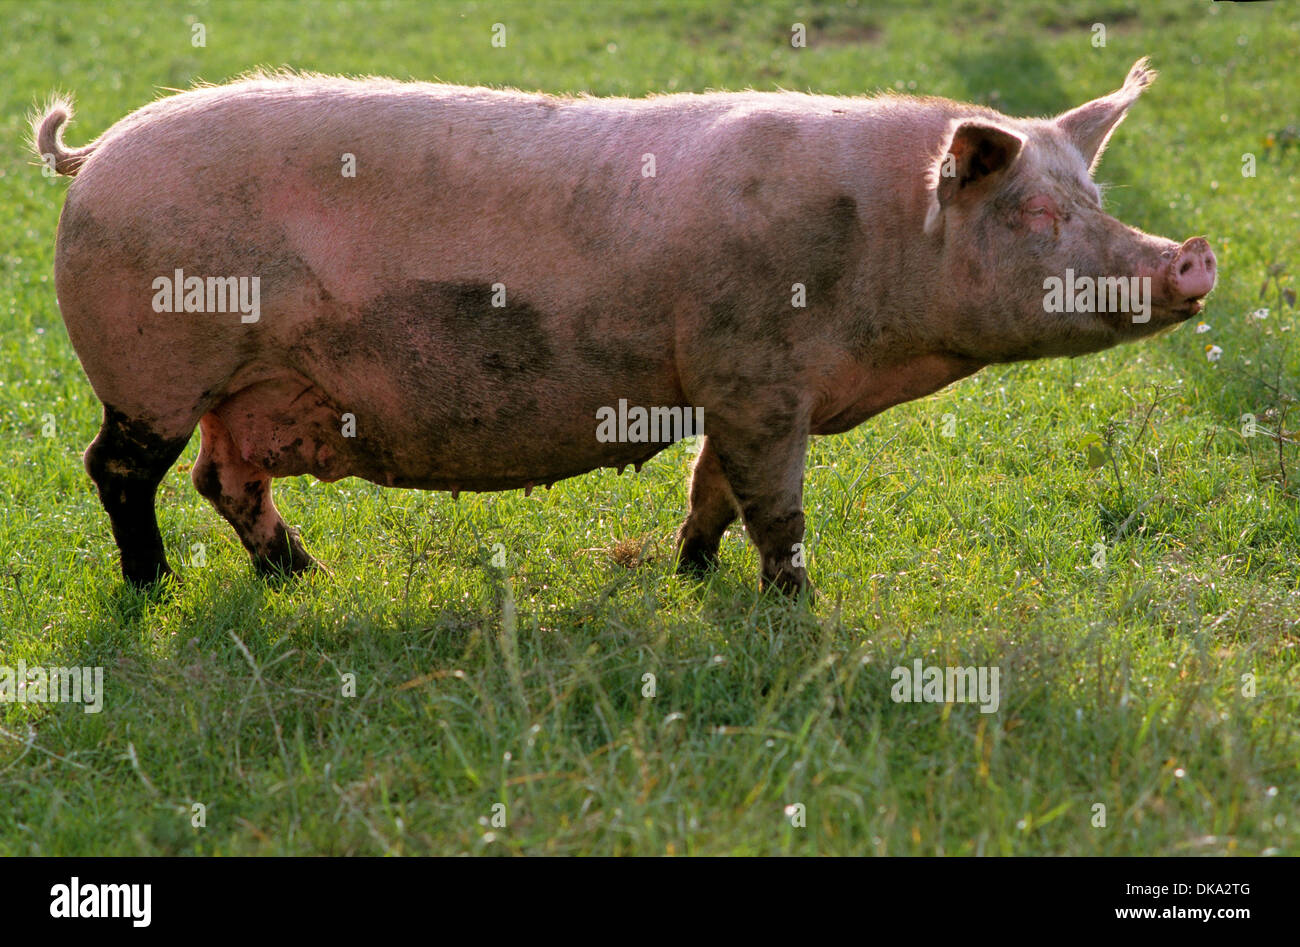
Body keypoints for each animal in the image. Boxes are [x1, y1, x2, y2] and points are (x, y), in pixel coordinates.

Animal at [34, 58, 1215, 594]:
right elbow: (774, 505)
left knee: (224, 478)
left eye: (1094, 199)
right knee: (120, 467)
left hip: (237, 387)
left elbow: (712, 488)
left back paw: (304, 576)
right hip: (151, 362)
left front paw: (689, 577)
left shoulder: (731, 386)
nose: (1193, 255)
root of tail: (91, 158)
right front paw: (795, 606)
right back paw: (153, 585)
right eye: (1036, 215)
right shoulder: (756, 377)